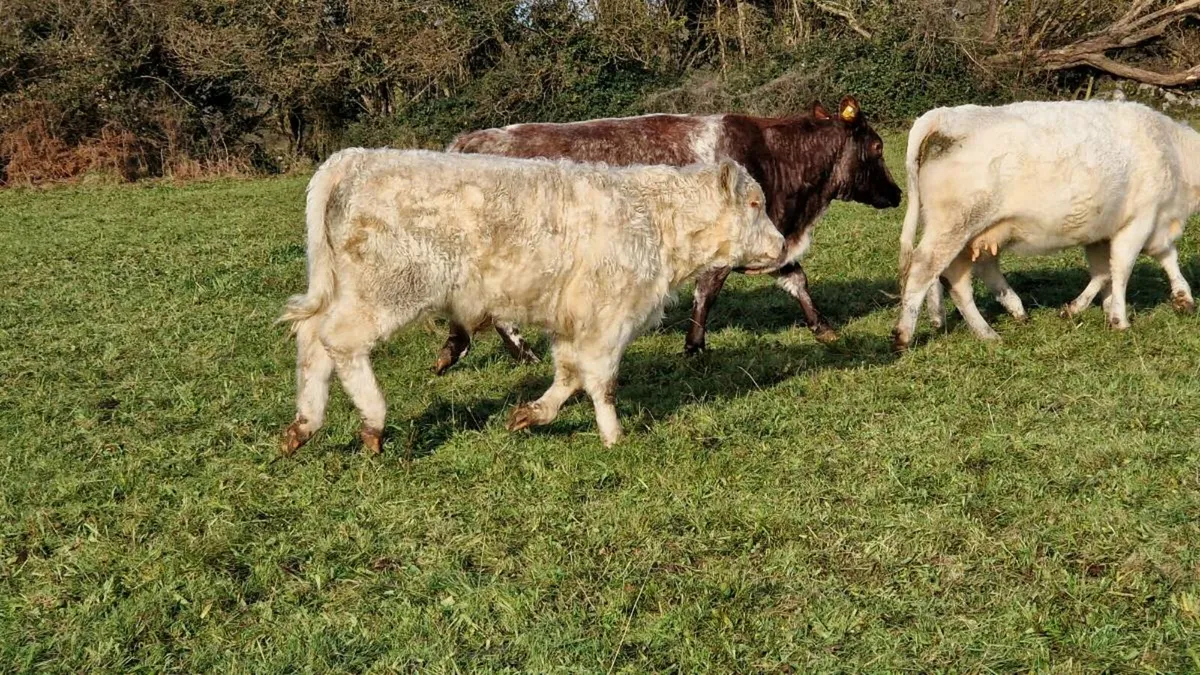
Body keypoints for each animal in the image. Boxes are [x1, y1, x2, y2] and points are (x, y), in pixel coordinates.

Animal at [279, 149, 786, 454]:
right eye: (755, 205)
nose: (782, 245)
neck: (656, 220)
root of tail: (356, 157)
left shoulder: (574, 319)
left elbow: (569, 374)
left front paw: (533, 414)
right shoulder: (608, 317)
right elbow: (601, 381)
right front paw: (614, 436)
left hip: (348, 288)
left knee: (312, 338)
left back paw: (304, 424)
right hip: (389, 289)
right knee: (338, 340)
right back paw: (372, 420)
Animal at [431, 95, 902, 375]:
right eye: (878, 148)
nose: (898, 193)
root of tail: (470, 140)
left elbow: (796, 278)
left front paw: (823, 328)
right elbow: (707, 294)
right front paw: (694, 346)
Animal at [894, 100, 1200, 351]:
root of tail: (943, 115)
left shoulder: (1111, 230)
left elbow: (1123, 268)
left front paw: (1181, 297)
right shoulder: (1139, 220)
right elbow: (1121, 269)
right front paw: (1119, 319)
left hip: (969, 233)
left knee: (958, 279)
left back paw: (989, 330)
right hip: (954, 225)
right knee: (925, 269)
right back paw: (904, 334)